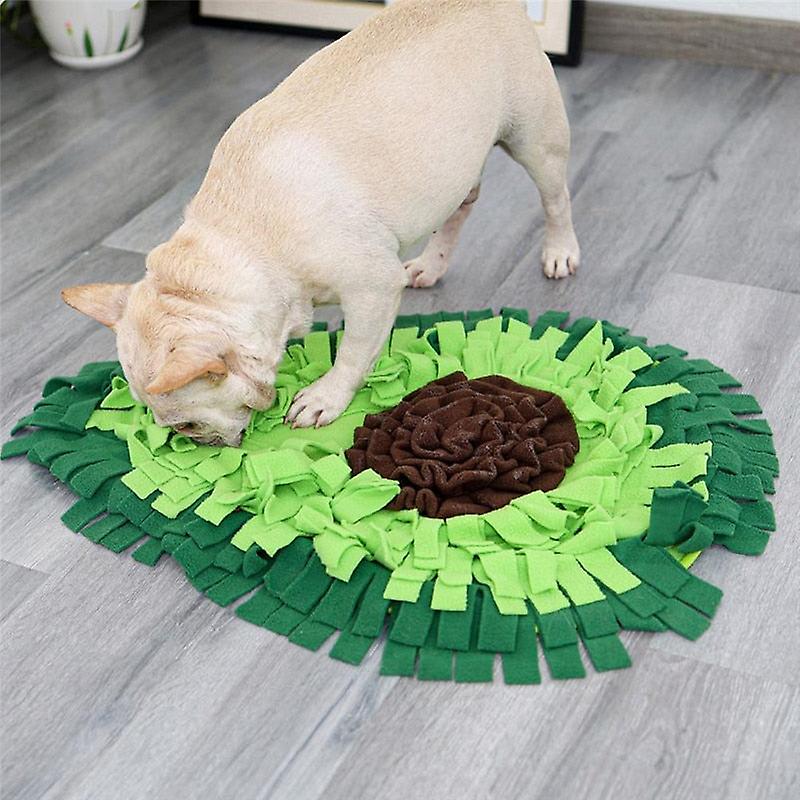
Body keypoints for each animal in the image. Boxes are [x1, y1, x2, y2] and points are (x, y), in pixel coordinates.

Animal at [59, 0, 580, 446]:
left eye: (186, 424)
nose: (195, 445)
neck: (244, 242)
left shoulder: (373, 288)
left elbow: (354, 350)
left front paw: (325, 397)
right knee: (461, 207)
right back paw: (432, 264)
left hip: (535, 139)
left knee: (556, 199)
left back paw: (559, 252)